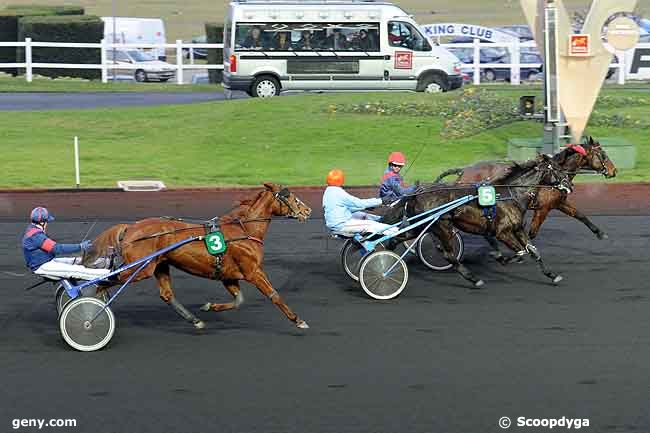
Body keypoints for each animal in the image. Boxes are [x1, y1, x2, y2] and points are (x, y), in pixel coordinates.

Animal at [91, 184, 312, 330]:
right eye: (289, 196)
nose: (308, 210)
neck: (243, 230)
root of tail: (130, 228)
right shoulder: (253, 271)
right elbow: (274, 295)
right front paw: (298, 320)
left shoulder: (228, 275)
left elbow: (238, 300)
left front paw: (210, 306)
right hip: (141, 269)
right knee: (105, 280)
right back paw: (96, 307)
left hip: (160, 265)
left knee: (166, 294)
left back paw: (194, 320)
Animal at [384, 154, 572, 286]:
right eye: (557, 169)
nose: (569, 185)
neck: (511, 194)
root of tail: (417, 193)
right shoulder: (502, 232)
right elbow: (521, 252)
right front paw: (500, 257)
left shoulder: (518, 229)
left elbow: (534, 251)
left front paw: (552, 275)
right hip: (442, 227)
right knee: (449, 255)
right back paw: (474, 279)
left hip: (424, 226)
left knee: (398, 237)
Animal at [432, 137, 616, 240]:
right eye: (604, 155)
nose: (614, 171)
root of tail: (464, 170)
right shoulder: (543, 208)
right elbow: (532, 232)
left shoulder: (557, 203)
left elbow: (579, 215)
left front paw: (600, 233)